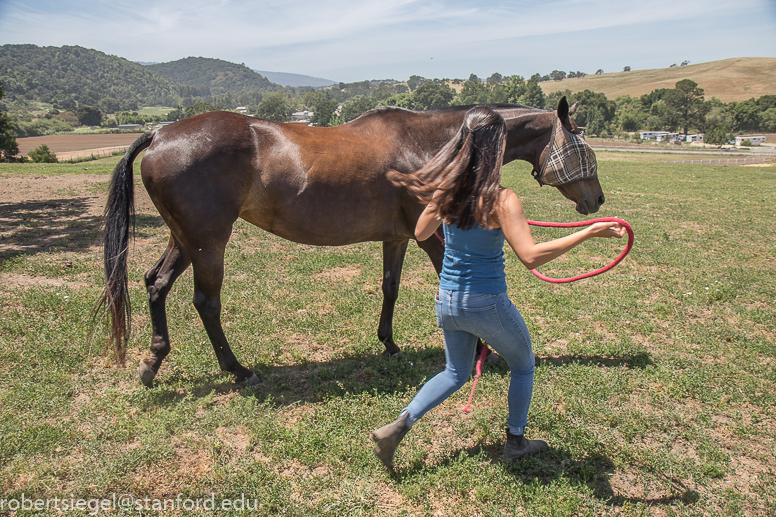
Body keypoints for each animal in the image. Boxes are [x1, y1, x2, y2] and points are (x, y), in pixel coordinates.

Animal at [100, 98, 604, 388]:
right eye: (585, 149)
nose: (596, 199)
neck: (434, 144)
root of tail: (160, 132)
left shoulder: (398, 237)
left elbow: (390, 288)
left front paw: (390, 345)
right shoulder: (434, 236)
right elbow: (454, 287)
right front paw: (481, 349)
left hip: (185, 238)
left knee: (155, 283)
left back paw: (153, 362)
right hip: (209, 242)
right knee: (206, 302)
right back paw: (238, 370)